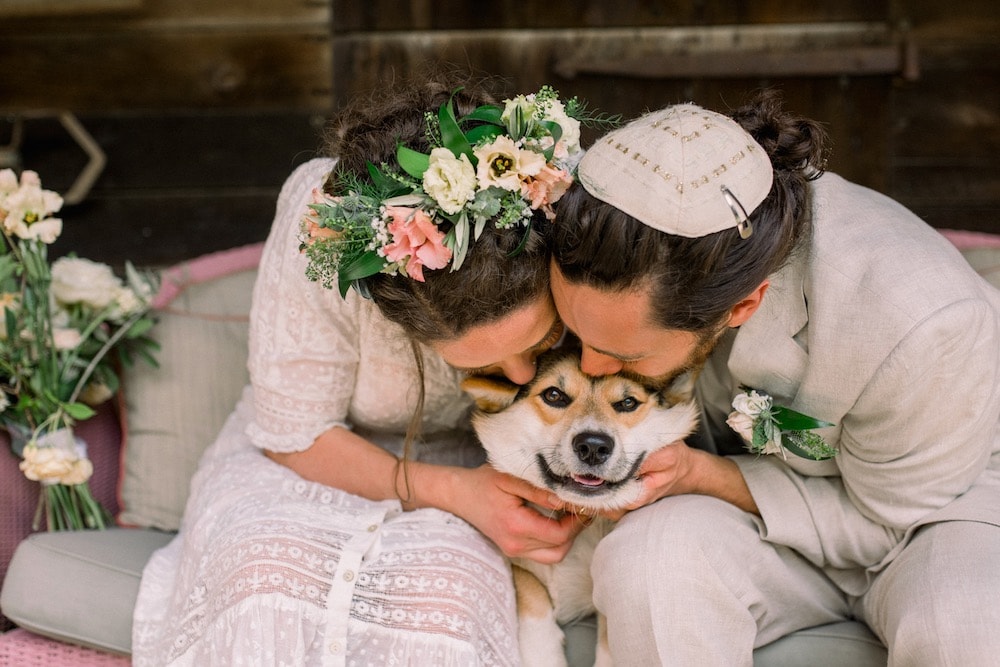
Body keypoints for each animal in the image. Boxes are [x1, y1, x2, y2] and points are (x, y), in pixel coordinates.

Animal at [462, 344, 704, 667]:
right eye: (554, 395)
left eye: (628, 402)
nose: (593, 446)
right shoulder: (518, 563)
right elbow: (532, 591)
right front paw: (543, 653)